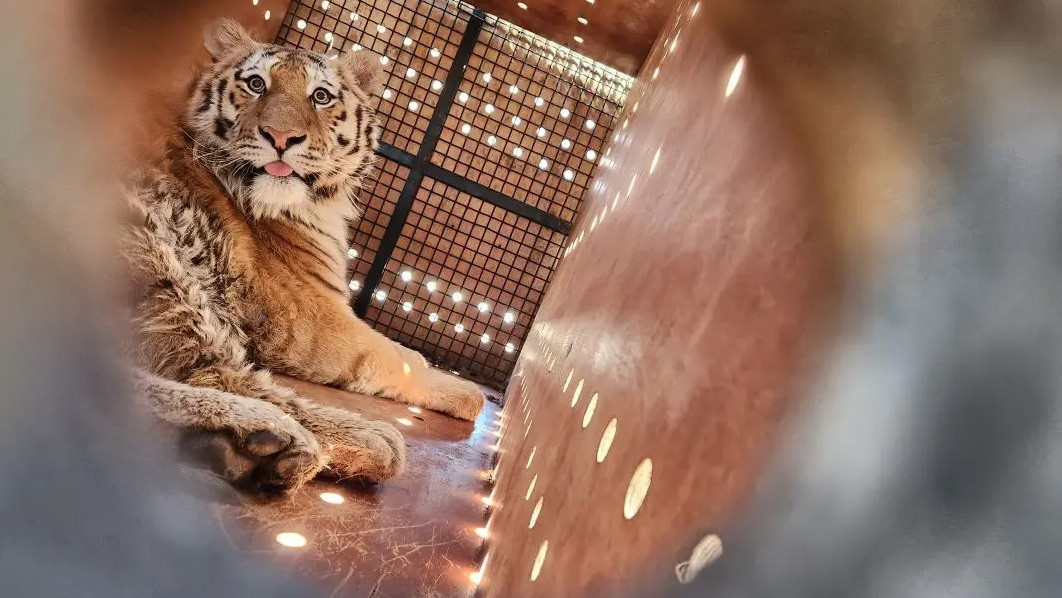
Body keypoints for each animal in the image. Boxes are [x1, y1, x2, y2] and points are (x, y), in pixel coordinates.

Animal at [123, 19, 485, 493]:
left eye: (321, 96)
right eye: (256, 84)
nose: (280, 138)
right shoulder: (305, 314)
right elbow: (392, 355)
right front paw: (468, 393)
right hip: (160, 255)